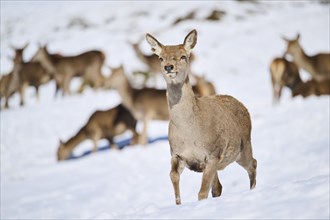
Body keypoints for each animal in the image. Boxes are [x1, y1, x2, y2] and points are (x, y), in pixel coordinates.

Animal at [147, 29, 258, 205]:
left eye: (183, 56)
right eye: (160, 57)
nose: (168, 67)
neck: (190, 133)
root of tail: (242, 105)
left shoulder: (212, 154)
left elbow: (202, 193)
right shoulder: (176, 154)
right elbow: (173, 177)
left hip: (244, 147)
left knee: (253, 163)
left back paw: (252, 191)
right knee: (218, 187)